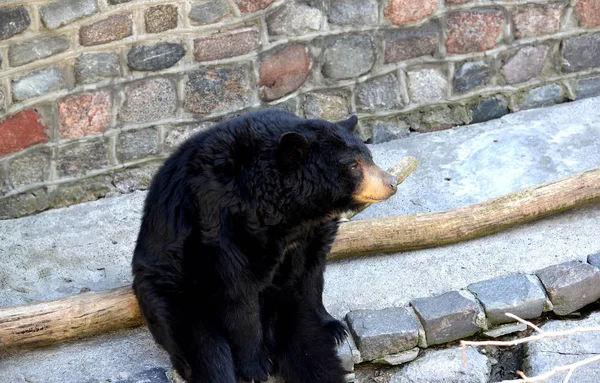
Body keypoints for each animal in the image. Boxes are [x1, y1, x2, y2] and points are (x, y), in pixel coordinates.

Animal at [134, 109, 400, 383]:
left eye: (369, 157)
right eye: (353, 165)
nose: (391, 182)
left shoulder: (312, 230)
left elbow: (312, 273)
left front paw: (333, 326)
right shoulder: (224, 221)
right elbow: (239, 292)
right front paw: (255, 366)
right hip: (174, 291)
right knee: (204, 347)